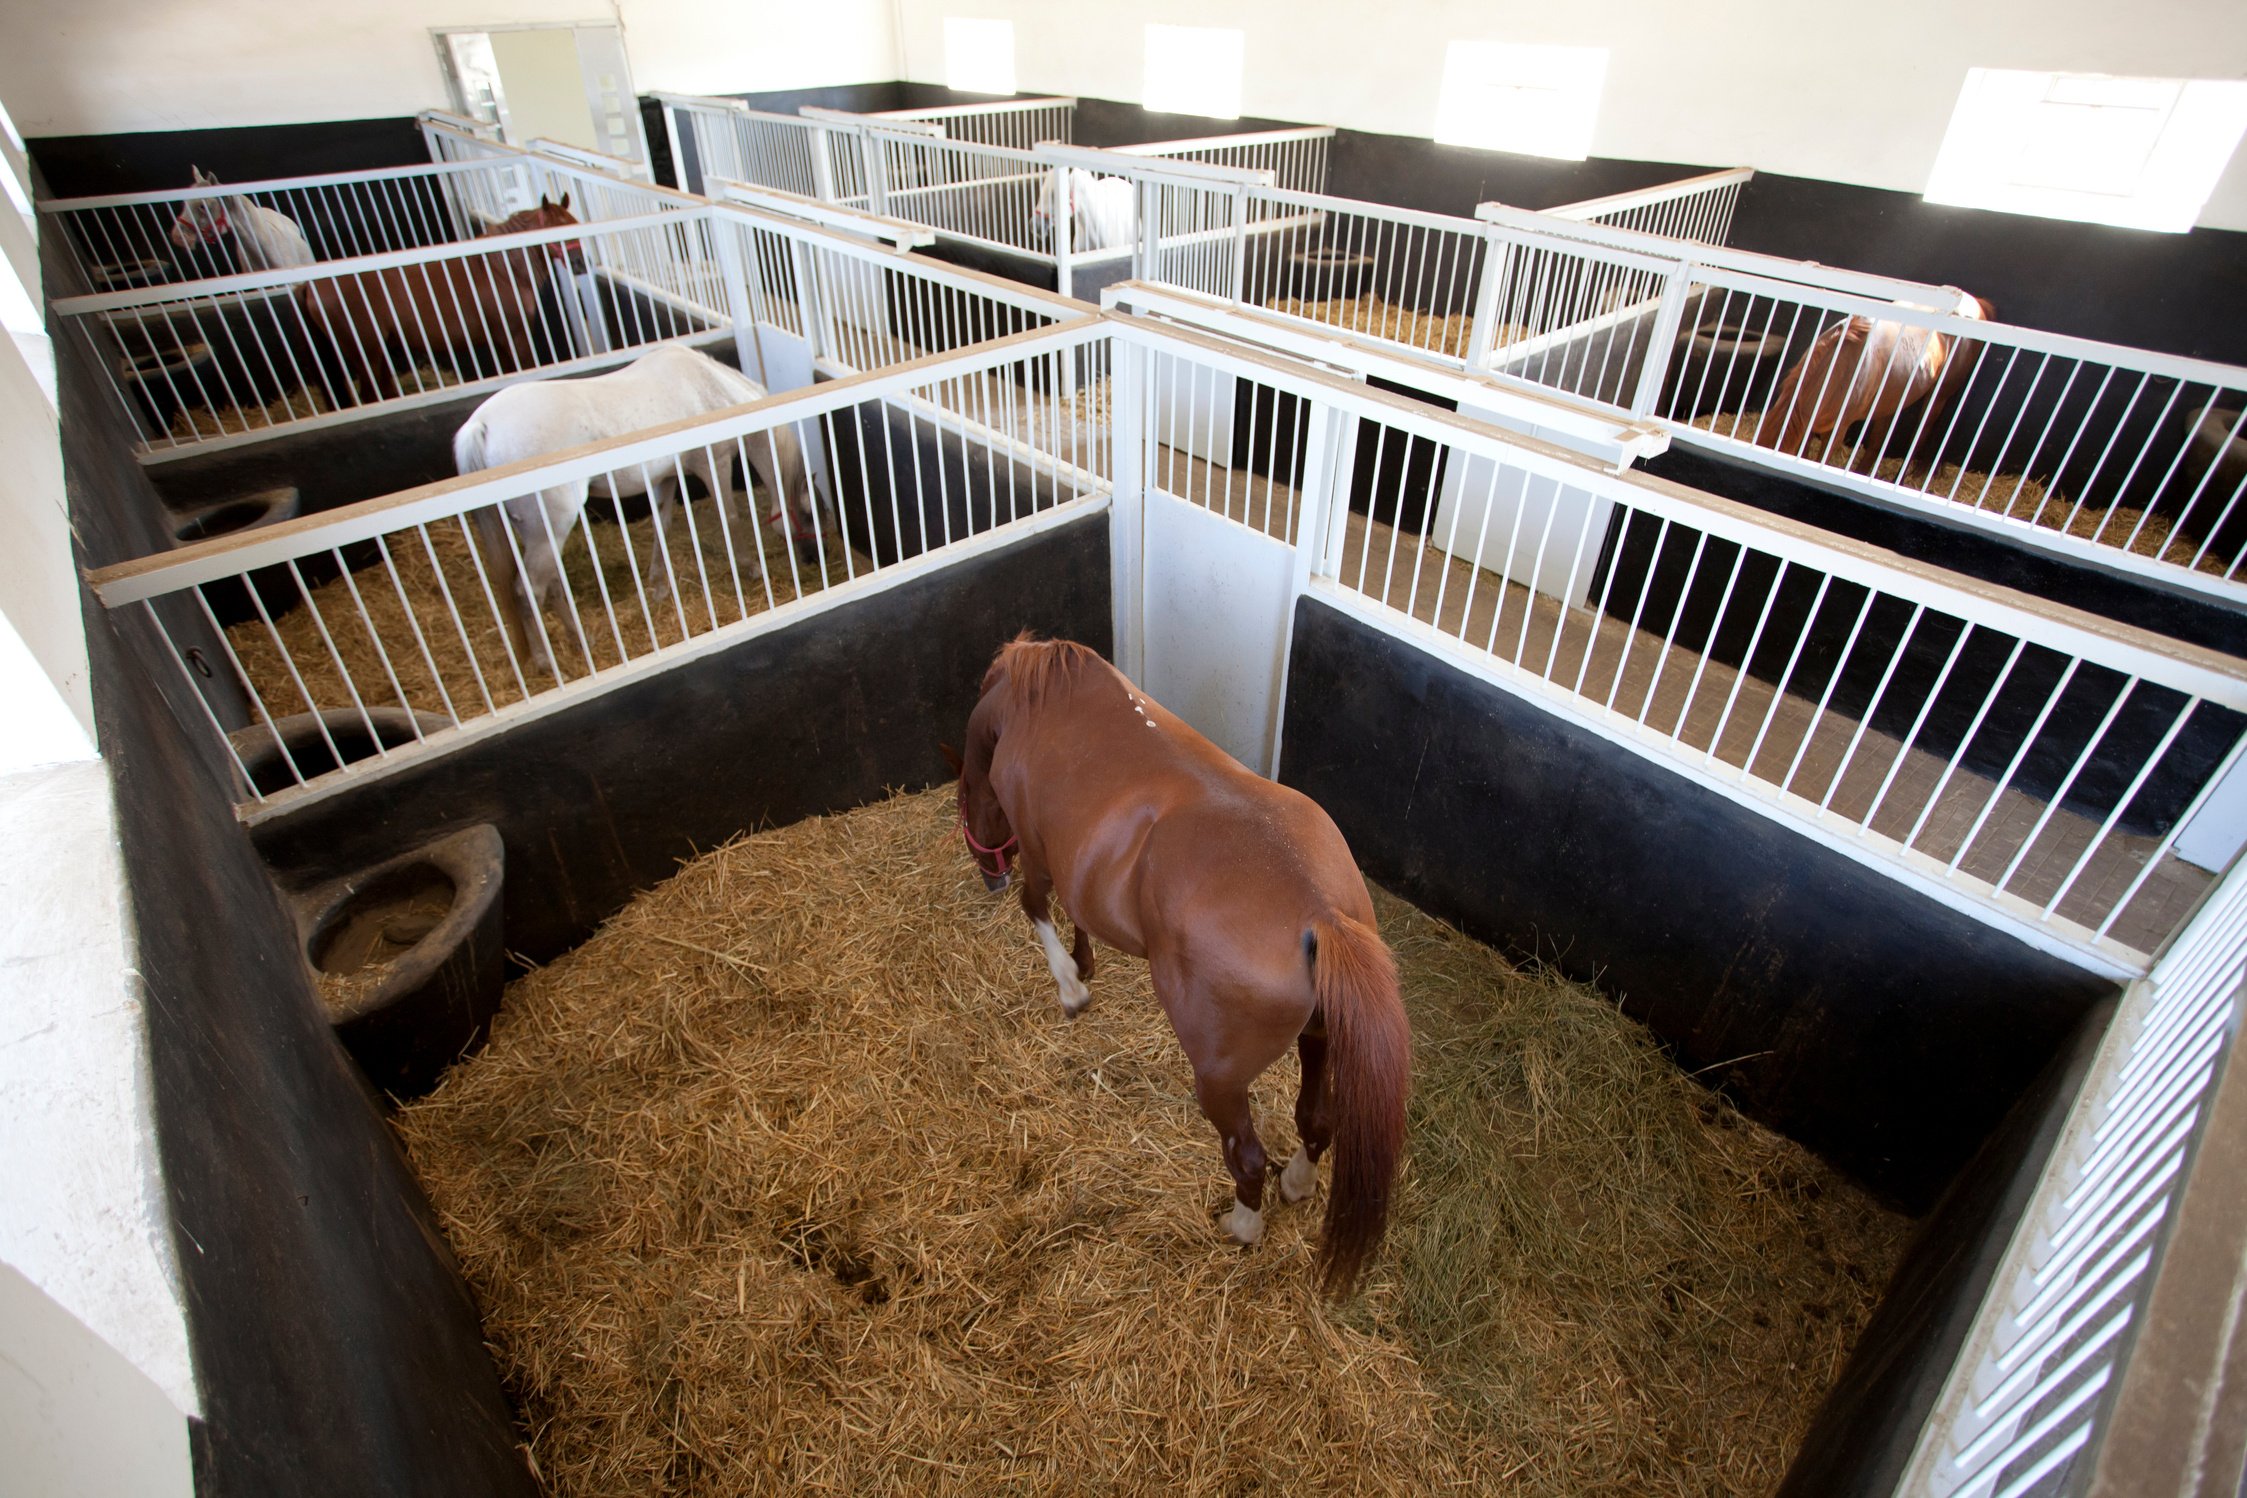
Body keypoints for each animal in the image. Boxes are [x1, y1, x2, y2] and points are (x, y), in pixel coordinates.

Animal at [289, 198, 584, 410]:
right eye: (557, 229)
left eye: (575, 223)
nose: (580, 263)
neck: (501, 269)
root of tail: (310, 285)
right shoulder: (516, 335)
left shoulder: (500, 339)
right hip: (365, 352)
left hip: (377, 351)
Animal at [451, 345, 831, 678]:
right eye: (810, 514)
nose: (820, 556)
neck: (712, 386)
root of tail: (481, 427)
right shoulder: (713, 463)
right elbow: (729, 517)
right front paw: (750, 567)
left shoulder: (665, 478)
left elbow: (663, 525)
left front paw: (659, 586)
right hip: (551, 529)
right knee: (528, 592)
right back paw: (547, 663)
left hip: (540, 533)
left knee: (552, 586)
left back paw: (581, 641)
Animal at [952, 637, 1411, 1293]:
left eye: (967, 800)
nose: (987, 874)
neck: (1033, 704)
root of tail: (1320, 913)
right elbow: (1077, 914)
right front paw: (1085, 963)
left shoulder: (1038, 852)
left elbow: (1036, 907)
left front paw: (1070, 987)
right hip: (1320, 1039)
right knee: (1317, 1121)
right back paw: (1297, 1184)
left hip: (1218, 1080)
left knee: (1247, 1157)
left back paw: (1242, 1227)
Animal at [1743, 287, 1995, 462]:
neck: (1835, 369)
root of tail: (1976, 303)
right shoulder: (1809, 426)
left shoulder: (1838, 430)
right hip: (1891, 400)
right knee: (1877, 441)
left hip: (1939, 396)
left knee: (1920, 435)